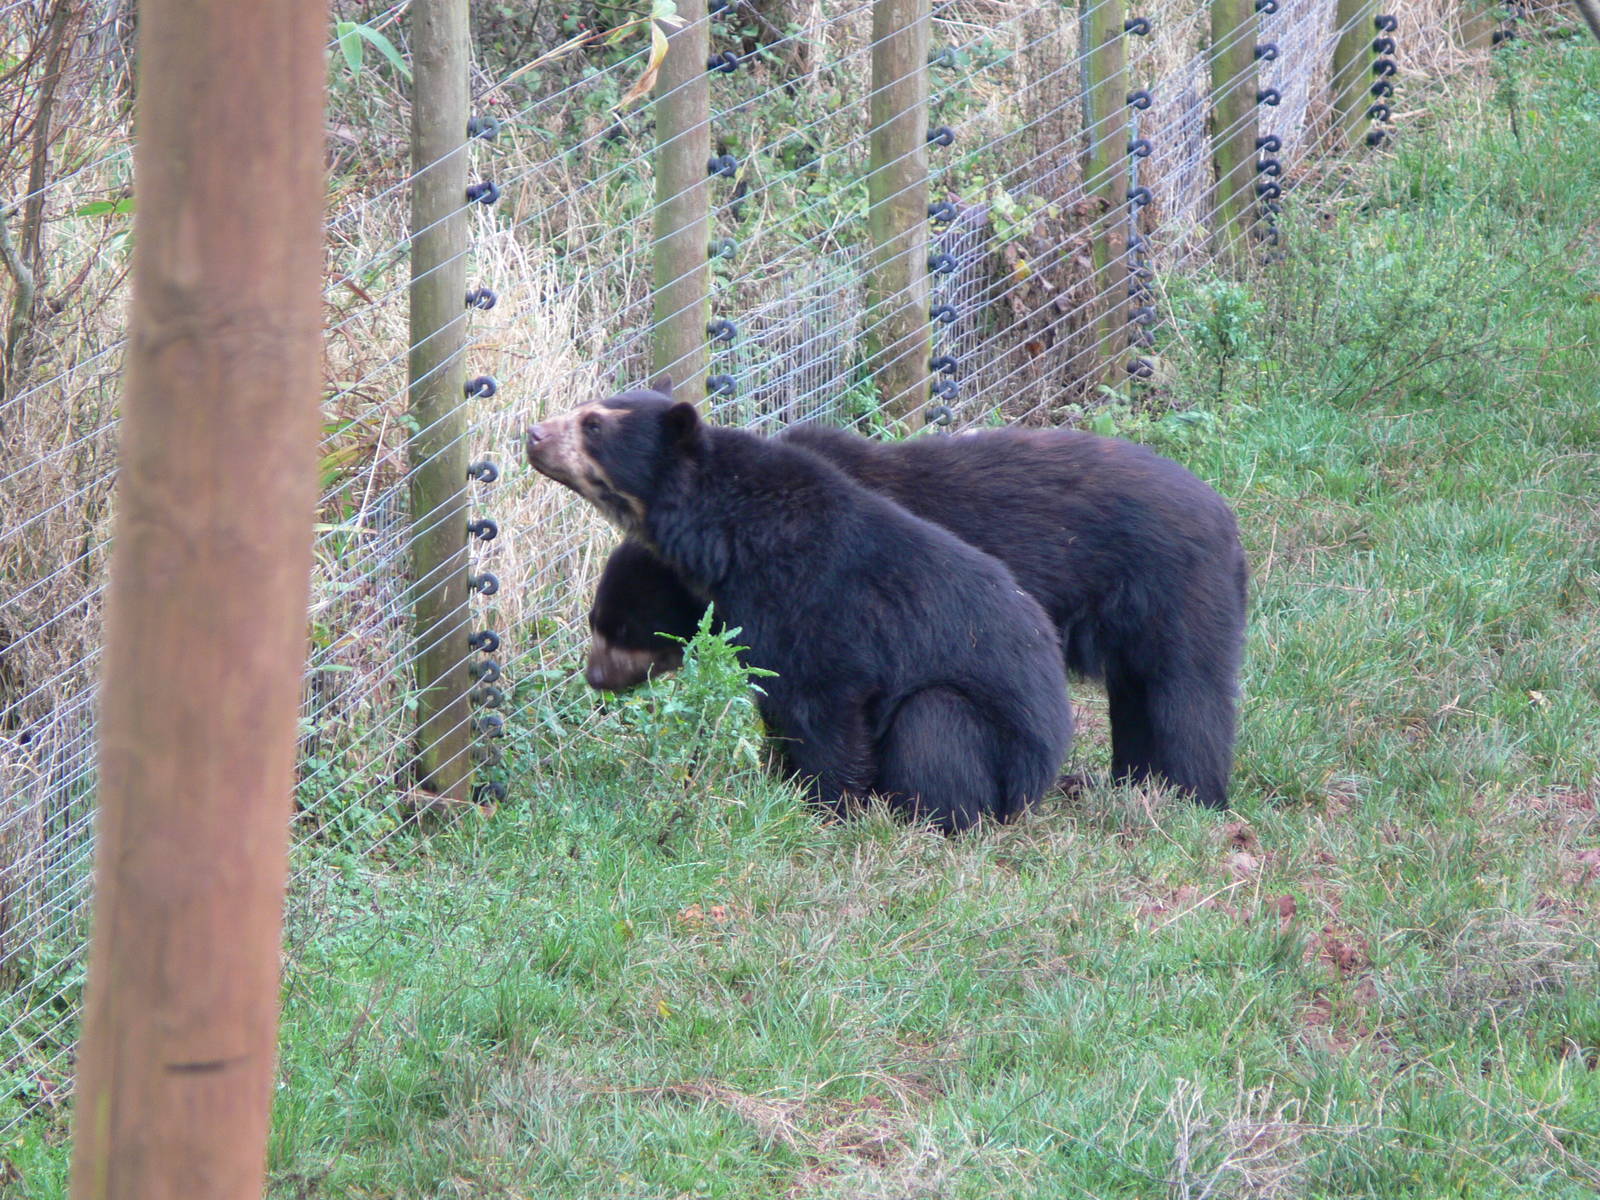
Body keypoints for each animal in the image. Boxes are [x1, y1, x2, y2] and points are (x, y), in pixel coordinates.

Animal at [525, 386, 1073, 833]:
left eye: (593, 425)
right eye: (597, 624)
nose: (531, 433)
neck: (725, 534)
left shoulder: (812, 600)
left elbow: (823, 702)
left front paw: (826, 807)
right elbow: (775, 697)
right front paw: (780, 783)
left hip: (998, 744)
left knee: (935, 724)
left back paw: (928, 819)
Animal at [584, 421, 1248, 810]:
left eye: (620, 630)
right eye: (599, 624)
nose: (595, 681)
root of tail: (1224, 515)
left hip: (1172, 593)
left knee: (1186, 697)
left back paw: (1190, 796)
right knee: (1138, 699)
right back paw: (1137, 784)